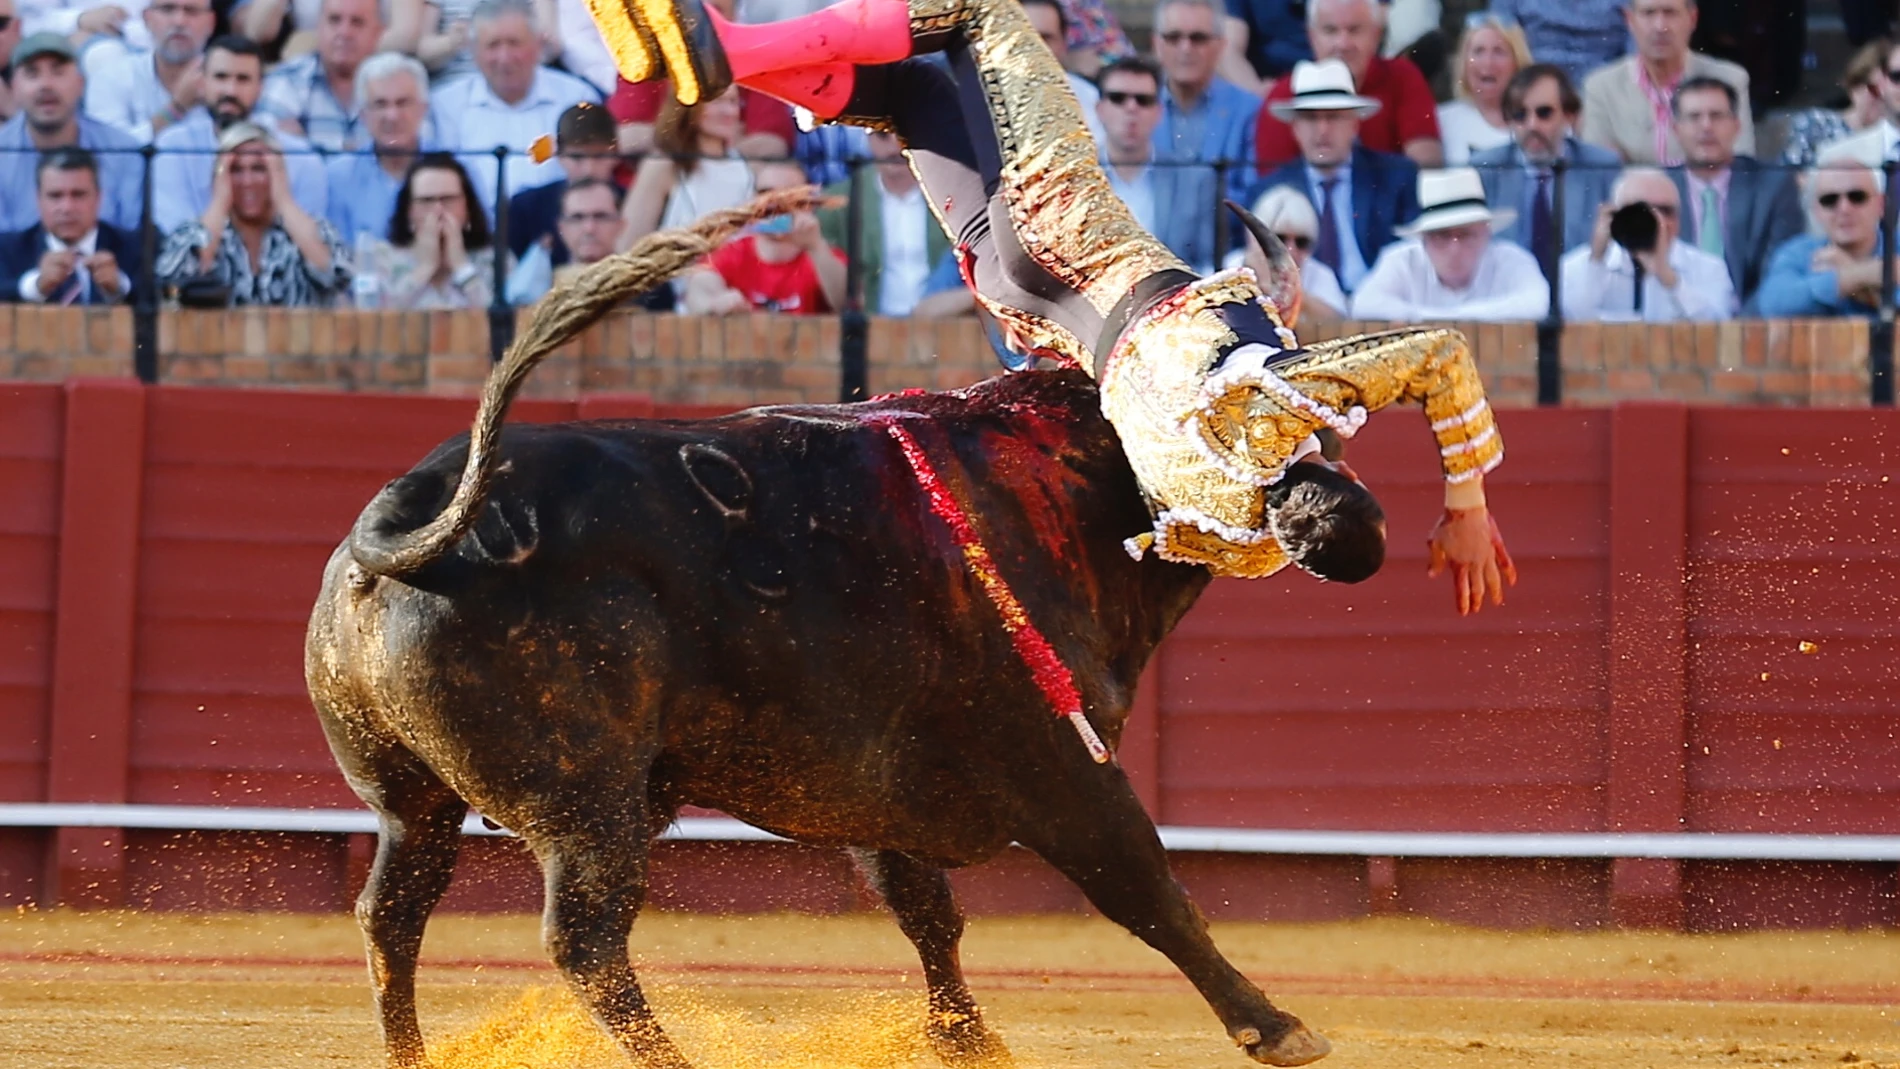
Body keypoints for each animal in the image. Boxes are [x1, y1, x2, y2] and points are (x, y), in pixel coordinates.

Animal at [304, 366, 1330, 1063]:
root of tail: (406, 513)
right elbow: (1151, 891)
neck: (1059, 488)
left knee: (389, 914)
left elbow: (929, 916)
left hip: (410, 802)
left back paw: (410, 1055)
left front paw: (969, 1042)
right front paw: (1277, 1026)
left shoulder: (882, 798)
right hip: (586, 805)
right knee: (584, 939)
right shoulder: (1066, 769)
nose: (1329, 512)